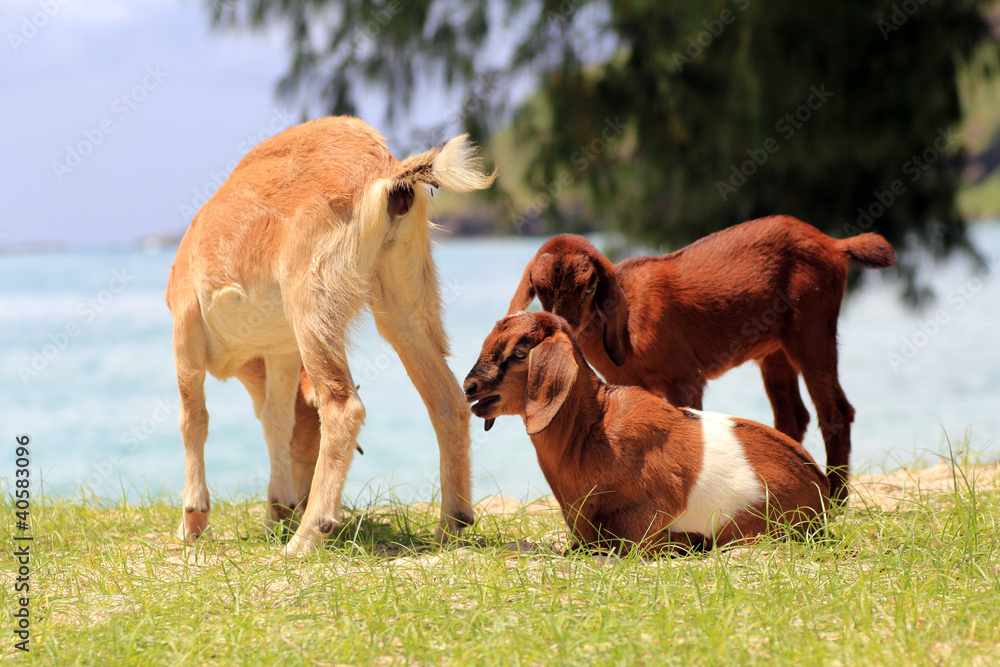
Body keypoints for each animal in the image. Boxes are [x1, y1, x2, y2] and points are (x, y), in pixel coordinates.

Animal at [166, 116, 495, 553]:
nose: (296, 504)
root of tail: (386, 171)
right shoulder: (281, 352)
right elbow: (276, 420)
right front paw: (276, 510)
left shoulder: (185, 329)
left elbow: (193, 419)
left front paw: (193, 522)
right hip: (402, 297)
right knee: (446, 400)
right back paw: (450, 526)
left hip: (312, 300)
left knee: (343, 405)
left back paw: (307, 536)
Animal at [507, 216, 896, 502]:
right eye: (540, 291)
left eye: (589, 287)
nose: (563, 325)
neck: (626, 324)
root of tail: (834, 243)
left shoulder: (684, 378)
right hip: (774, 350)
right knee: (792, 416)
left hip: (811, 329)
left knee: (836, 411)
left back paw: (836, 500)